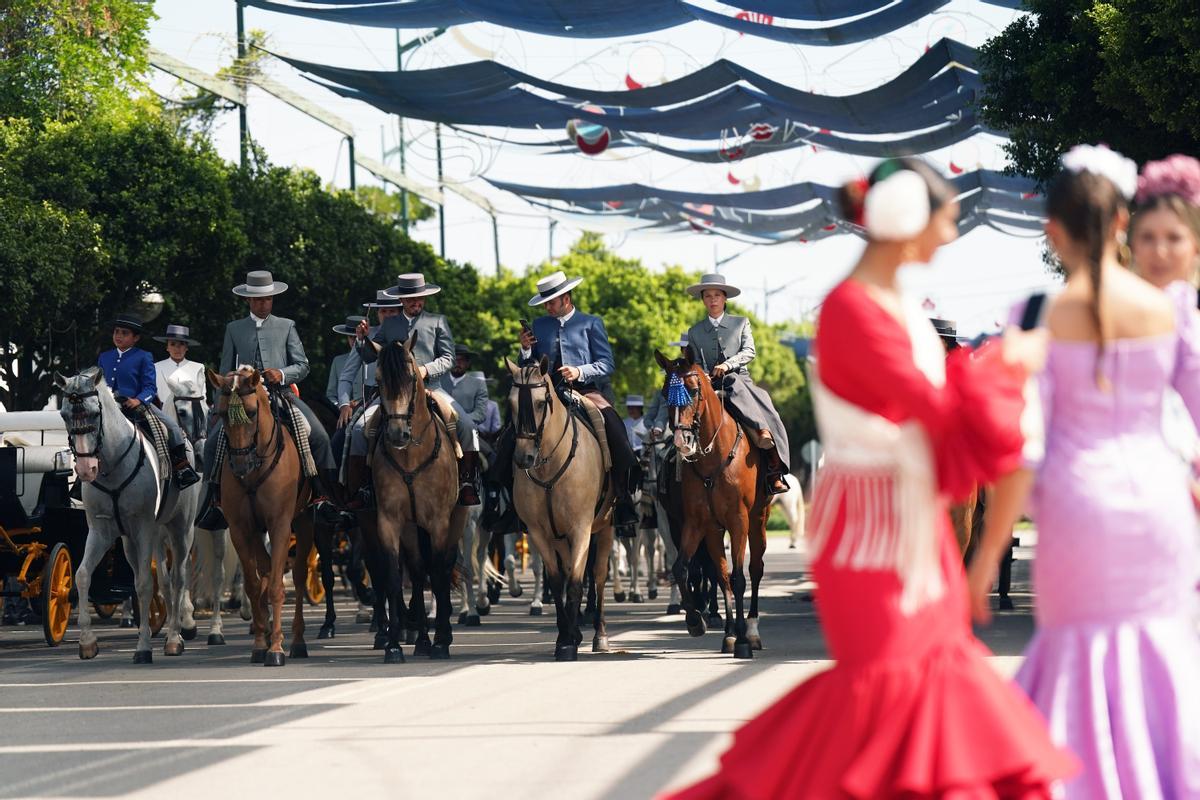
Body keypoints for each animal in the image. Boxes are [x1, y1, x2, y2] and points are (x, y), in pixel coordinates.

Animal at [56, 369, 200, 662]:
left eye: (94, 413)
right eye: (64, 414)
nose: (86, 469)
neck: (111, 466)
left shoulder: (143, 528)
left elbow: (144, 584)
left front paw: (143, 646)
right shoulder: (100, 532)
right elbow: (83, 575)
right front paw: (87, 641)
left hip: (181, 530)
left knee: (178, 578)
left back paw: (175, 637)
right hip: (139, 540)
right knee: (164, 580)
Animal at [207, 367, 316, 666]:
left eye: (252, 412)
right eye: (221, 413)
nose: (239, 465)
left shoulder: (280, 525)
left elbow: (278, 585)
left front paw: (276, 648)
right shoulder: (240, 529)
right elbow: (254, 585)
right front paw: (260, 644)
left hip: (303, 522)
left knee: (298, 575)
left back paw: (298, 641)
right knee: (266, 568)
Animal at [369, 338, 463, 662]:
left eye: (411, 378)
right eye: (378, 380)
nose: (398, 434)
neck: (410, 454)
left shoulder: (439, 522)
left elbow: (439, 573)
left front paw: (441, 642)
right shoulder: (388, 522)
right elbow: (394, 576)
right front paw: (394, 645)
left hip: (455, 521)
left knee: (441, 568)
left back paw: (440, 636)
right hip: (411, 528)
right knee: (419, 572)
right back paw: (421, 639)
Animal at [506, 357, 619, 662]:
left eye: (540, 402)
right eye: (511, 403)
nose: (523, 458)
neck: (549, 464)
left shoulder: (581, 529)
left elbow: (579, 581)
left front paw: (569, 644)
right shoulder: (539, 533)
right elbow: (558, 581)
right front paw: (565, 636)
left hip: (604, 527)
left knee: (599, 576)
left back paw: (600, 635)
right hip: (559, 538)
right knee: (569, 570)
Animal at [657, 347, 768, 657]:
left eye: (693, 390)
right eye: (665, 393)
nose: (681, 440)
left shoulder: (738, 520)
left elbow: (739, 577)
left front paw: (742, 640)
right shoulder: (698, 523)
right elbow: (686, 568)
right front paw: (697, 621)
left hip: (758, 520)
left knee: (755, 570)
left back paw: (751, 631)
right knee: (718, 572)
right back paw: (729, 630)